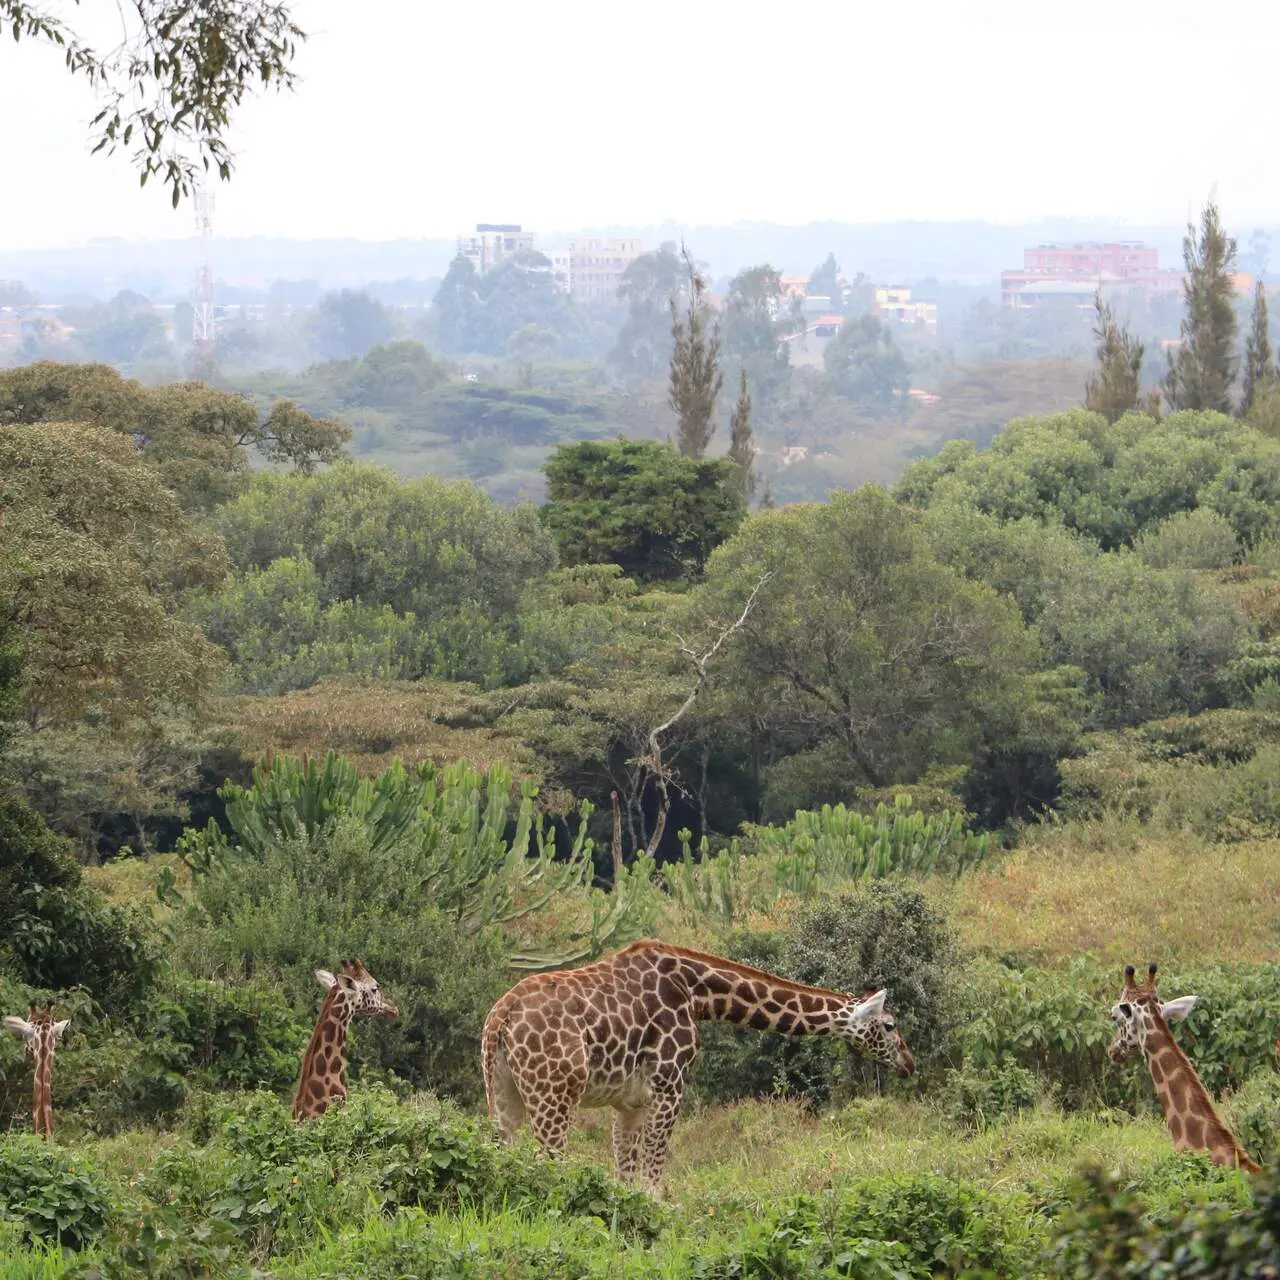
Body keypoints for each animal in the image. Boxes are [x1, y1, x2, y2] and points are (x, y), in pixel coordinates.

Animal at [481, 938, 915, 1195]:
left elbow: (626, 1176)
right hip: (555, 1093)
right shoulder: (670, 1084)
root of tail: (500, 1018)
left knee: (506, 1156)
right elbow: (654, 1177)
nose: (909, 1064)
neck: (700, 994)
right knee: (548, 1164)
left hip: (502, 1094)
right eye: (890, 1025)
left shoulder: (629, 1102)